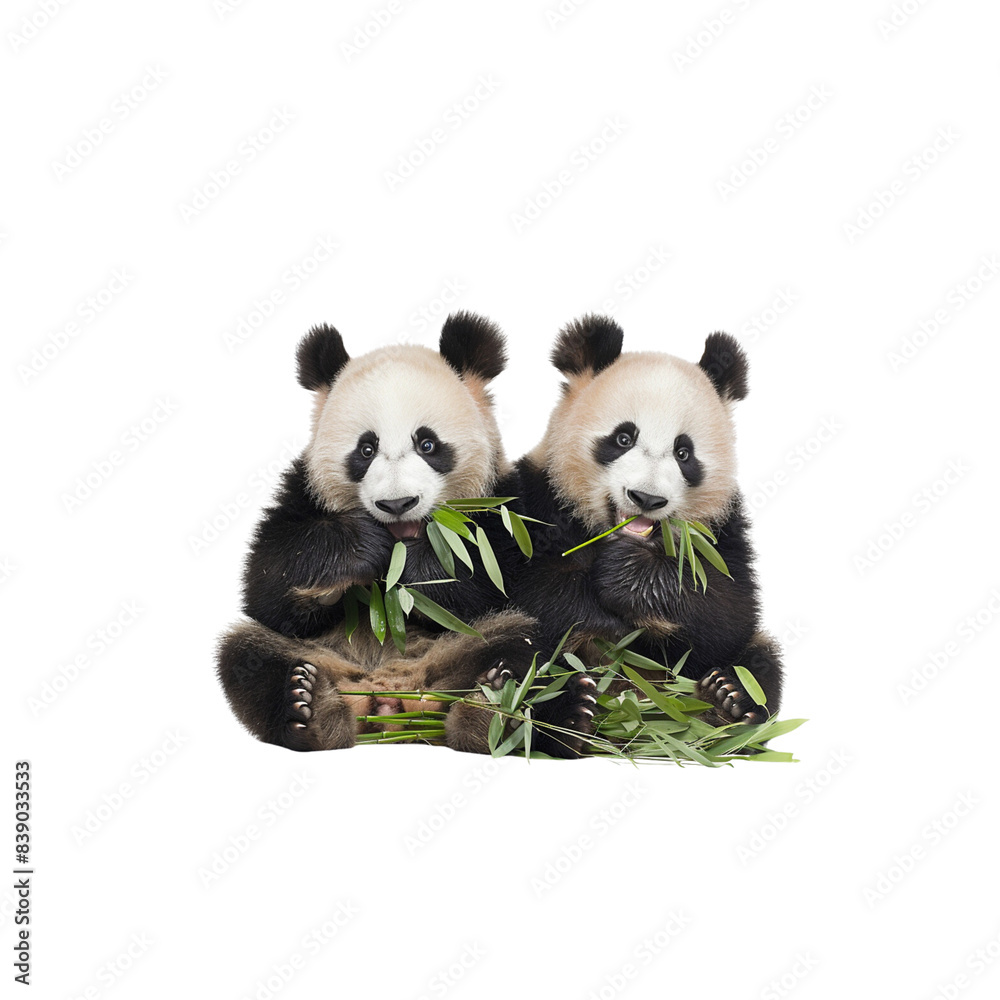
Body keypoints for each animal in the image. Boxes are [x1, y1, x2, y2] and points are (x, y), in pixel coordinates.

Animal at [217, 312, 551, 753]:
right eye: (366, 449)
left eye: (428, 444)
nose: (397, 503)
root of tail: (389, 701)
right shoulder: (301, 492)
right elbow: (268, 587)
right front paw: (359, 552)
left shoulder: (503, 501)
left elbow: (502, 579)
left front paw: (421, 566)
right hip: (316, 655)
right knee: (247, 653)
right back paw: (310, 710)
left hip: (468, 650)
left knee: (522, 641)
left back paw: (489, 710)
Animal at [506, 314, 784, 753]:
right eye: (623, 438)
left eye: (684, 453)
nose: (646, 498)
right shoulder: (535, 501)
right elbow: (531, 593)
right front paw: (603, 623)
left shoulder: (723, 531)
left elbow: (727, 611)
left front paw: (626, 574)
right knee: (522, 660)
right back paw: (570, 714)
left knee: (760, 658)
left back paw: (729, 700)